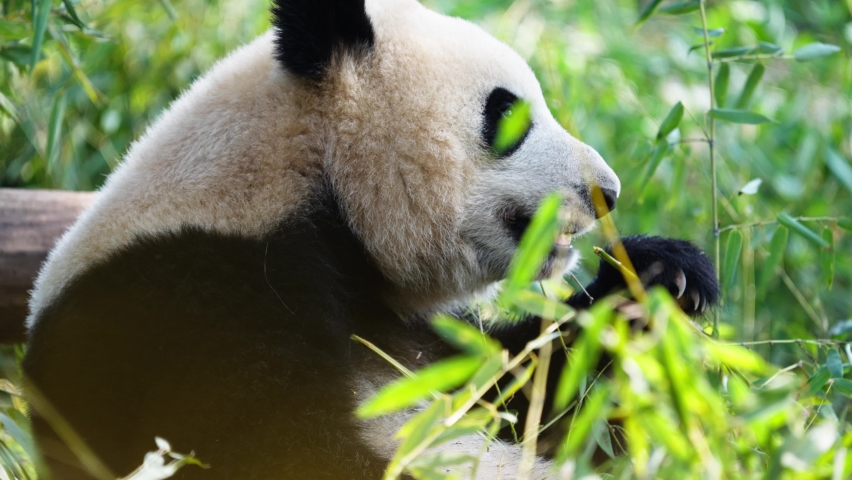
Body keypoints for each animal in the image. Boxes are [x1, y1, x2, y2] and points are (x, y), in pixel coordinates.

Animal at [23, 0, 720, 478]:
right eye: (509, 115)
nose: (607, 190)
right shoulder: (192, 305)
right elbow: (287, 447)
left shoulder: (402, 324)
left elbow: (519, 385)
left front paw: (660, 276)